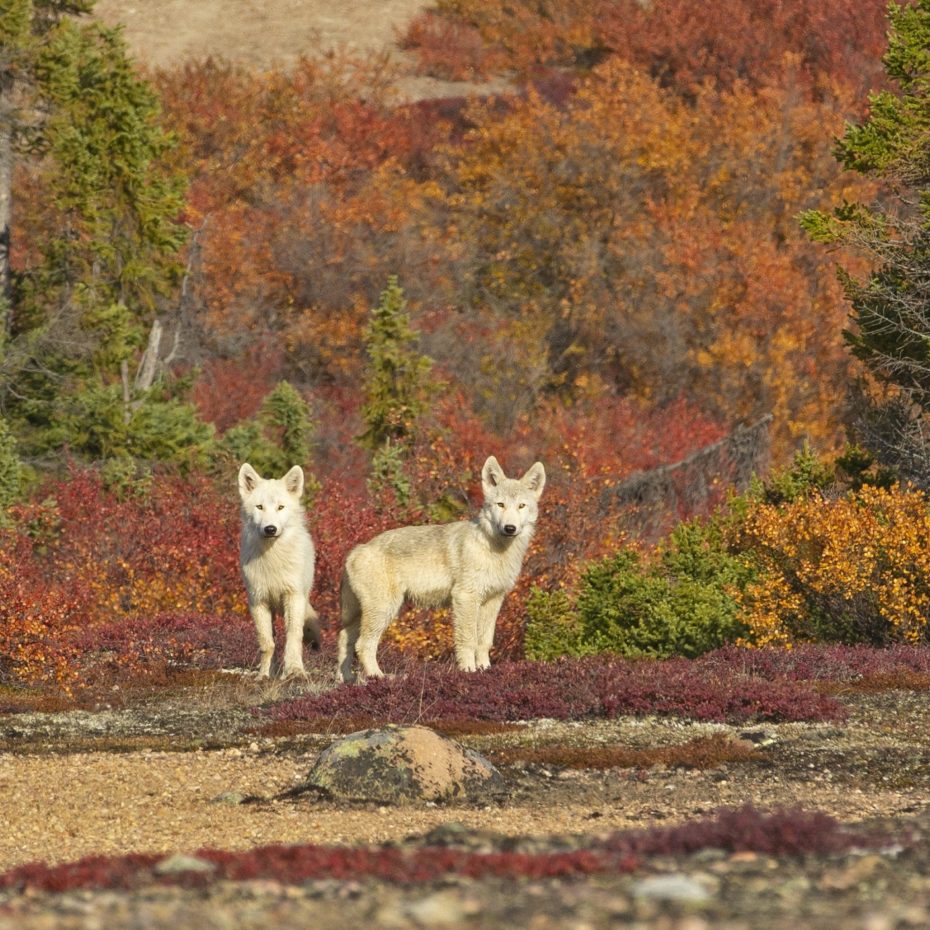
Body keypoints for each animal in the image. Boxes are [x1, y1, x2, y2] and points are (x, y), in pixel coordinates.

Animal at [237, 462, 320, 676]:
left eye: (280, 507)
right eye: (259, 507)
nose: (270, 529)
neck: (272, 559)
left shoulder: (293, 597)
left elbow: (293, 637)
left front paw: (294, 671)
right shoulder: (258, 601)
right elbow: (267, 643)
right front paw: (264, 675)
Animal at [338, 456, 544, 680]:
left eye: (521, 506)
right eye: (501, 504)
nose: (510, 528)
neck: (496, 550)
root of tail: (356, 550)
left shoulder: (493, 600)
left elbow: (484, 641)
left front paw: (485, 670)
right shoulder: (465, 597)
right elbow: (468, 640)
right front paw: (469, 671)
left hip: (364, 613)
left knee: (343, 638)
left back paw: (345, 680)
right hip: (384, 609)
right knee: (363, 644)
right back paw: (379, 678)